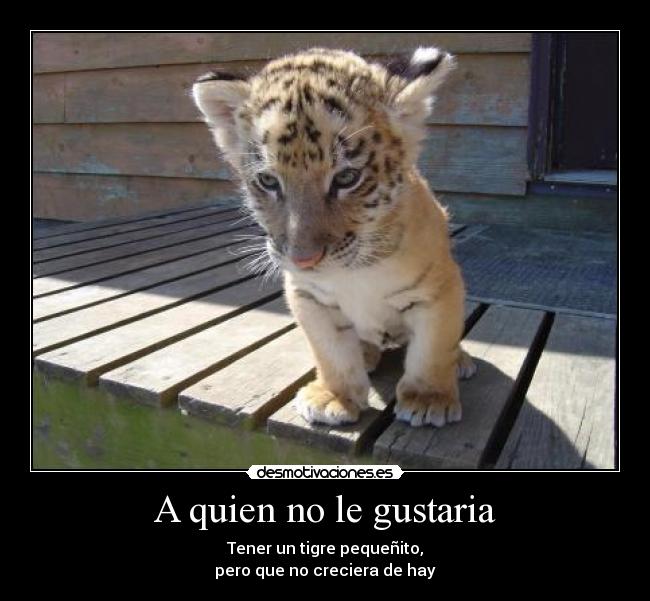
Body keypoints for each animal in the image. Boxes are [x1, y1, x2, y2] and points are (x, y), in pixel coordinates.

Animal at [192, 46, 476, 428]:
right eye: (268, 181)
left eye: (346, 178)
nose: (302, 259)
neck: (353, 271)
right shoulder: (308, 297)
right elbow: (331, 353)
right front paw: (334, 397)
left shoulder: (438, 290)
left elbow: (431, 348)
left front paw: (428, 399)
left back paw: (459, 362)